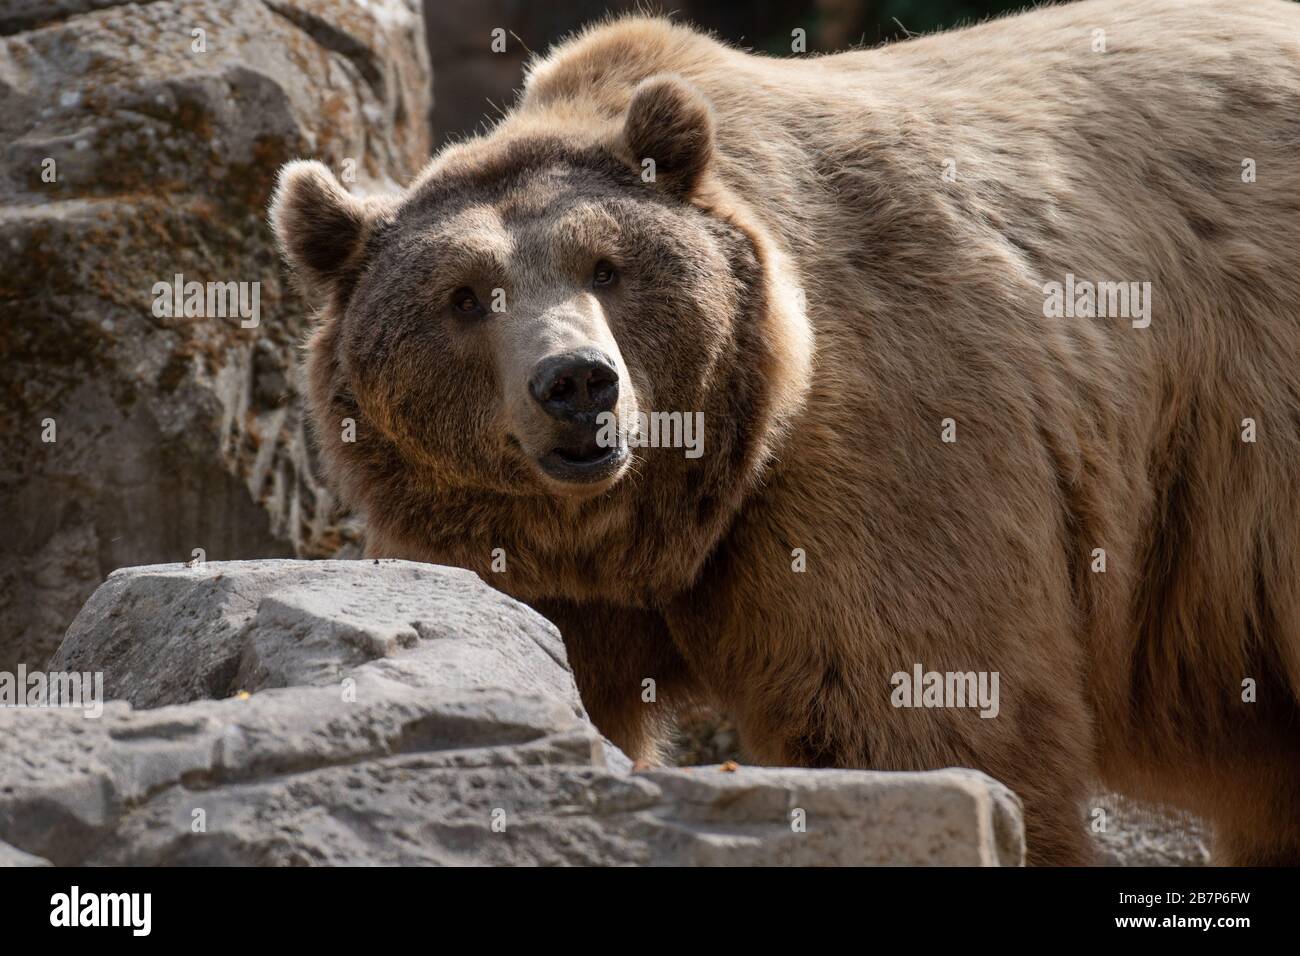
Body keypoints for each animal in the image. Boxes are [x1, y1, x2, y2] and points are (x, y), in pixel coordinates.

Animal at [271, 0, 1300, 868]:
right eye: (466, 296)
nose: (578, 382)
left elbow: (914, 714)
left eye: (607, 266)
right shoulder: (527, 567)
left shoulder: (883, 448)